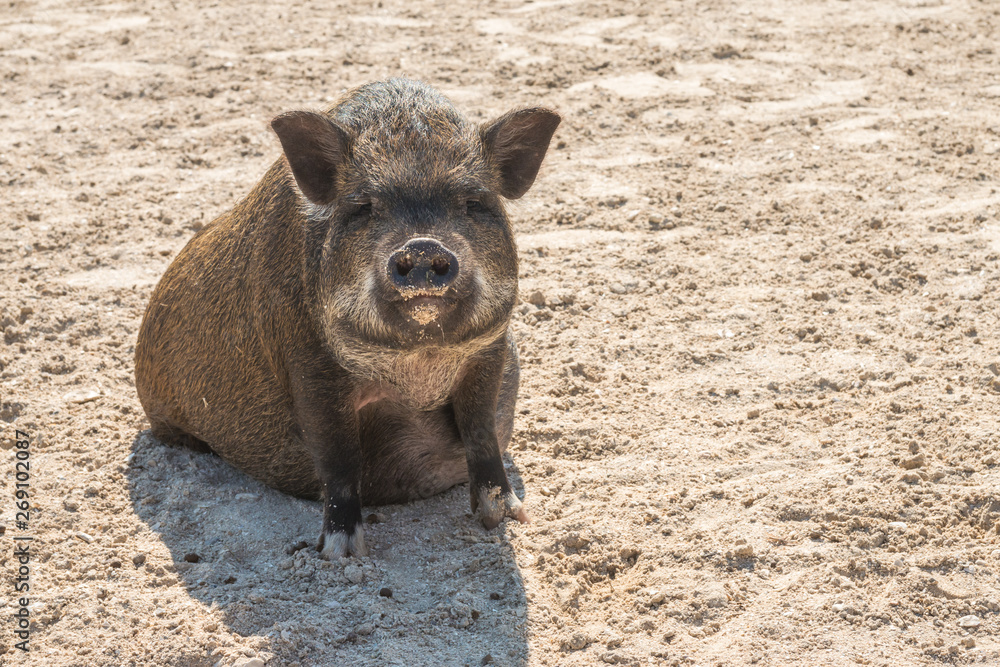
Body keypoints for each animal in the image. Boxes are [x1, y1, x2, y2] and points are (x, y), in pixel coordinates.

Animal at [134, 79, 560, 558]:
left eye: (473, 202)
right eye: (364, 207)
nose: (423, 245)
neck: (418, 366)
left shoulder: (489, 348)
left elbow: (481, 430)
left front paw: (509, 517)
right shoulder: (309, 363)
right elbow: (339, 457)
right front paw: (339, 552)